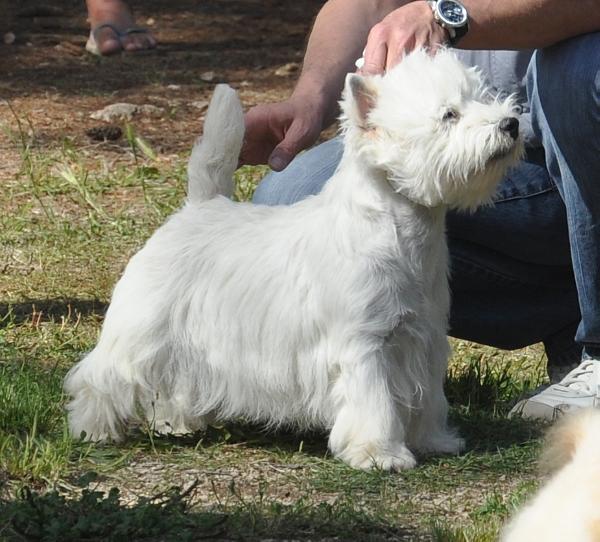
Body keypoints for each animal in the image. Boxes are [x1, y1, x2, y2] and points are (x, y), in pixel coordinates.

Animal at [62, 50, 520, 472]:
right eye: (448, 114)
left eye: (485, 97)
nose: (511, 123)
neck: (402, 232)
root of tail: (197, 206)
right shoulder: (366, 344)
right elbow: (375, 403)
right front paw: (380, 454)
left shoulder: (423, 338)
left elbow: (427, 398)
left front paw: (434, 440)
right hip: (144, 326)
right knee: (103, 376)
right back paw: (92, 429)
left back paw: (179, 422)